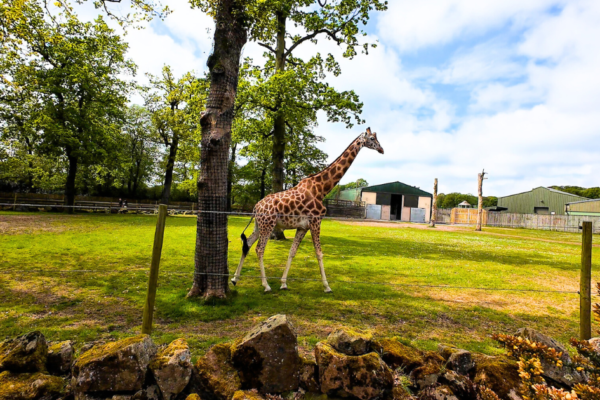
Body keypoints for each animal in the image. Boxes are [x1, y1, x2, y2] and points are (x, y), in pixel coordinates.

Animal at [230, 129, 384, 294]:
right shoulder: (316, 221)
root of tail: (256, 207)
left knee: (247, 243)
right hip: (268, 225)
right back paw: (266, 285)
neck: (322, 189)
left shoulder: (302, 227)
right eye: (372, 138)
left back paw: (234, 279)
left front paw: (283, 283)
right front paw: (327, 286)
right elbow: (319, 253)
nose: (382, 149)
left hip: (259, 225)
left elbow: (292, 251)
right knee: (259, 249)